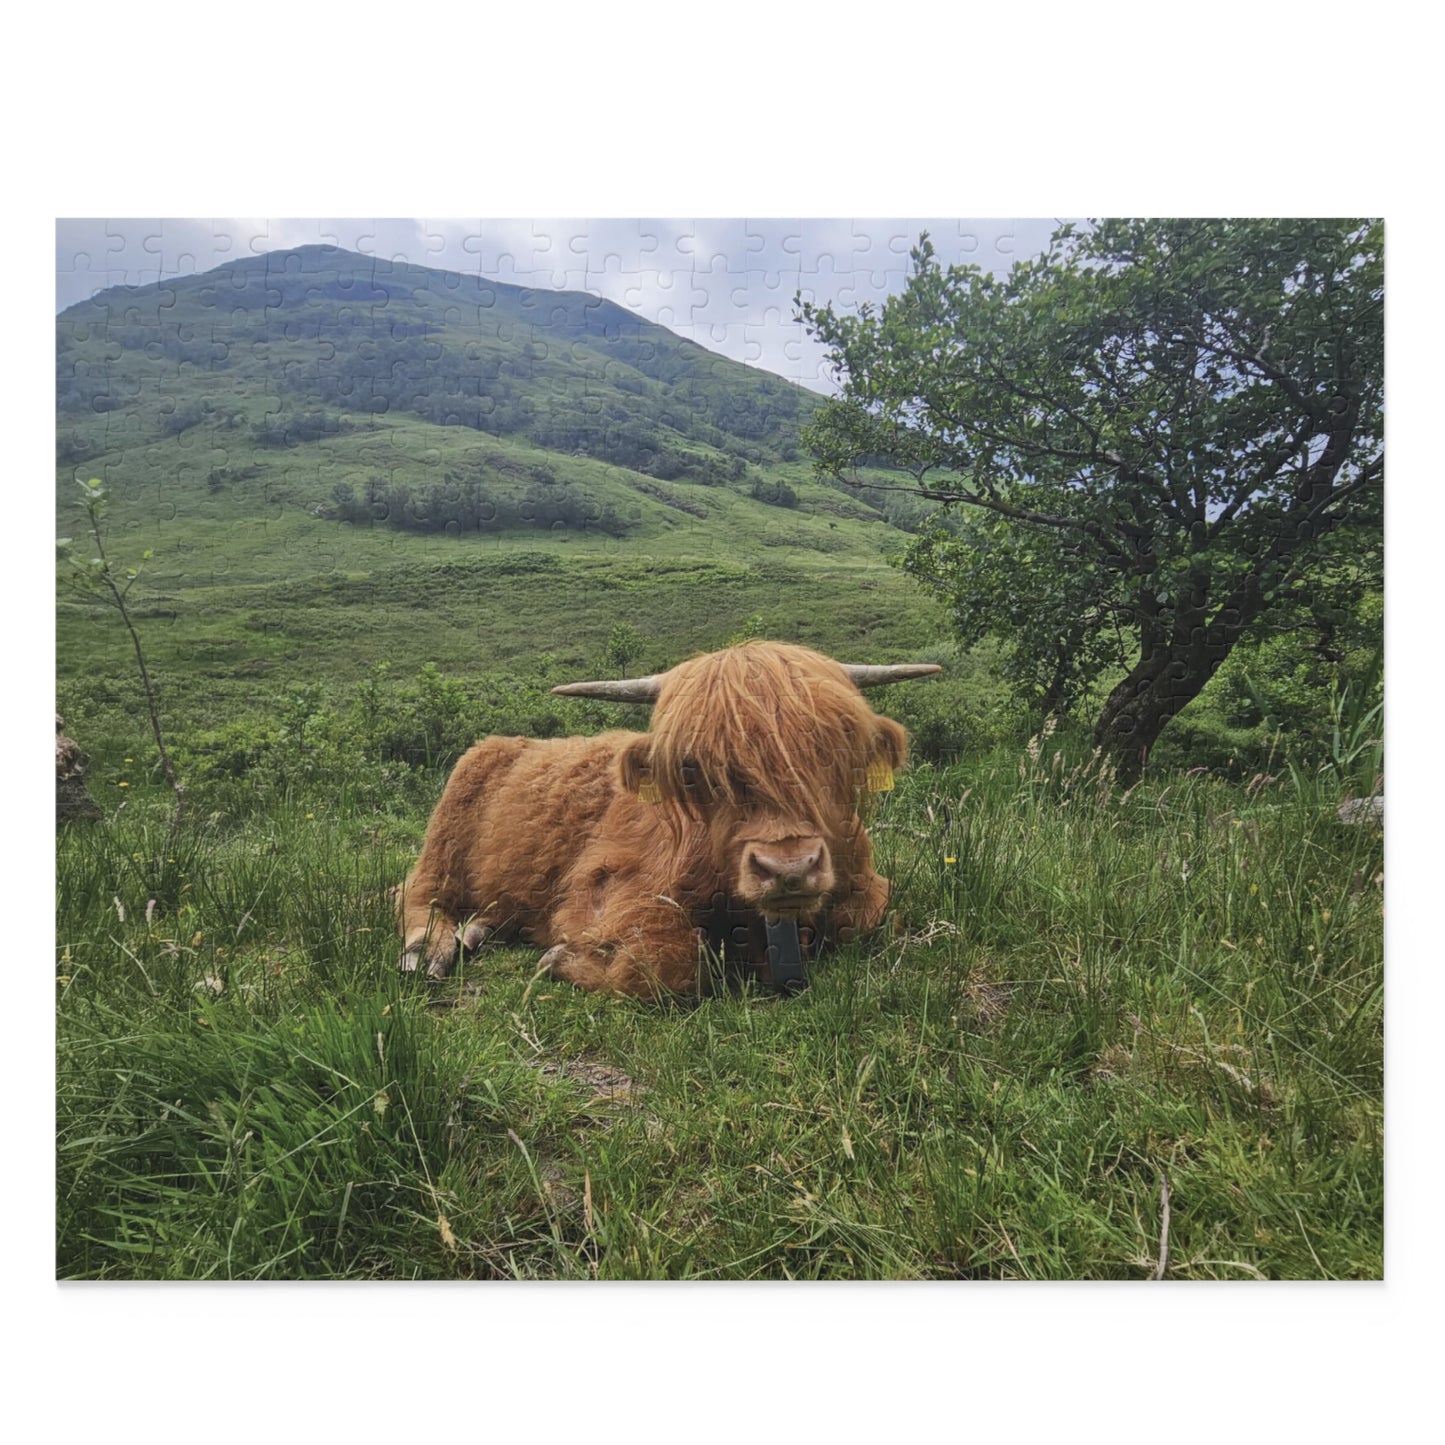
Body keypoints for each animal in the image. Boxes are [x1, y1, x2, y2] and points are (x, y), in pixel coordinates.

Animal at [397, 641, 940, 996]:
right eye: (693, 767)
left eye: (832, 751)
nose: (788, 868)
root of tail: (506, 742)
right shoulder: (601, 886)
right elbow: (670, 961)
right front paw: (562, 960)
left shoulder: (865, 884)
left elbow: (861, 919)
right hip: (445, 838)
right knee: (418, 893)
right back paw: (429, 950)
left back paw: (478, 931)